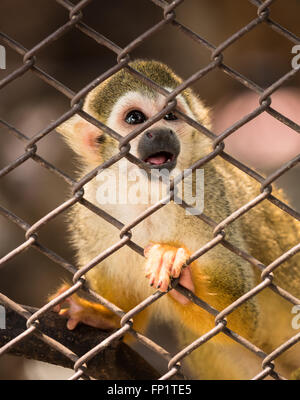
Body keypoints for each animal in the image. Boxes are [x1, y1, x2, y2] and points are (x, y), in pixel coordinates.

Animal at [50, 58, 298, 378]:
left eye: (170, 115)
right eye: (134, 118)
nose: (161, 133)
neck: (149, 194)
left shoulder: (209, 198)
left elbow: (239, 320)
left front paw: (176, 267)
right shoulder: (92, 206)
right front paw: (102, 317)